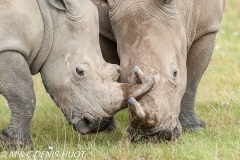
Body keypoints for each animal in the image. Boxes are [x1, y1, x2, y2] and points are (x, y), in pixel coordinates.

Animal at [0, 0, 154, 147]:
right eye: (79, 72)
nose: (99, 124)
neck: (50, 16)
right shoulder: (8, 46)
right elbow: (24, 95)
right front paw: (17, 144)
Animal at [93, 0, 226, 141]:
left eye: (175, 74)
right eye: (124, 78)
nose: (152, 136)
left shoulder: (207, 28)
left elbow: (191, 82)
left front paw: (193, 128)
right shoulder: (103, 30)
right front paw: (105, 130)